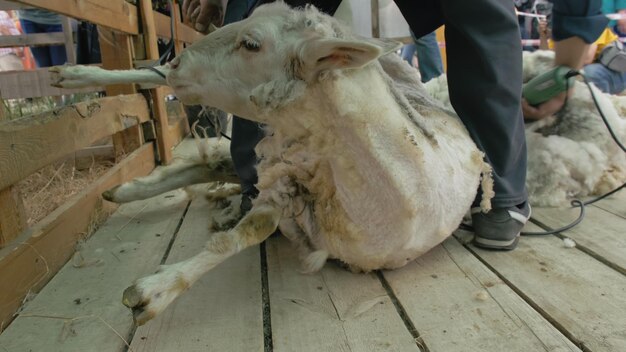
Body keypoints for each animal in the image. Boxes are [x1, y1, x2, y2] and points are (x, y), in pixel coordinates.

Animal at [51, 3, 490, 328]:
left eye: (251, 44)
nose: (178, 64)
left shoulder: (287, 183)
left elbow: (249, 230)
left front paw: (157, 288)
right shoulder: (286, 179)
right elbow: (246, 231)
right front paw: (161, 286)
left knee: (211, 164)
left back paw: (133, 189)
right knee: (156, 78)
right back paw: (77, 77)